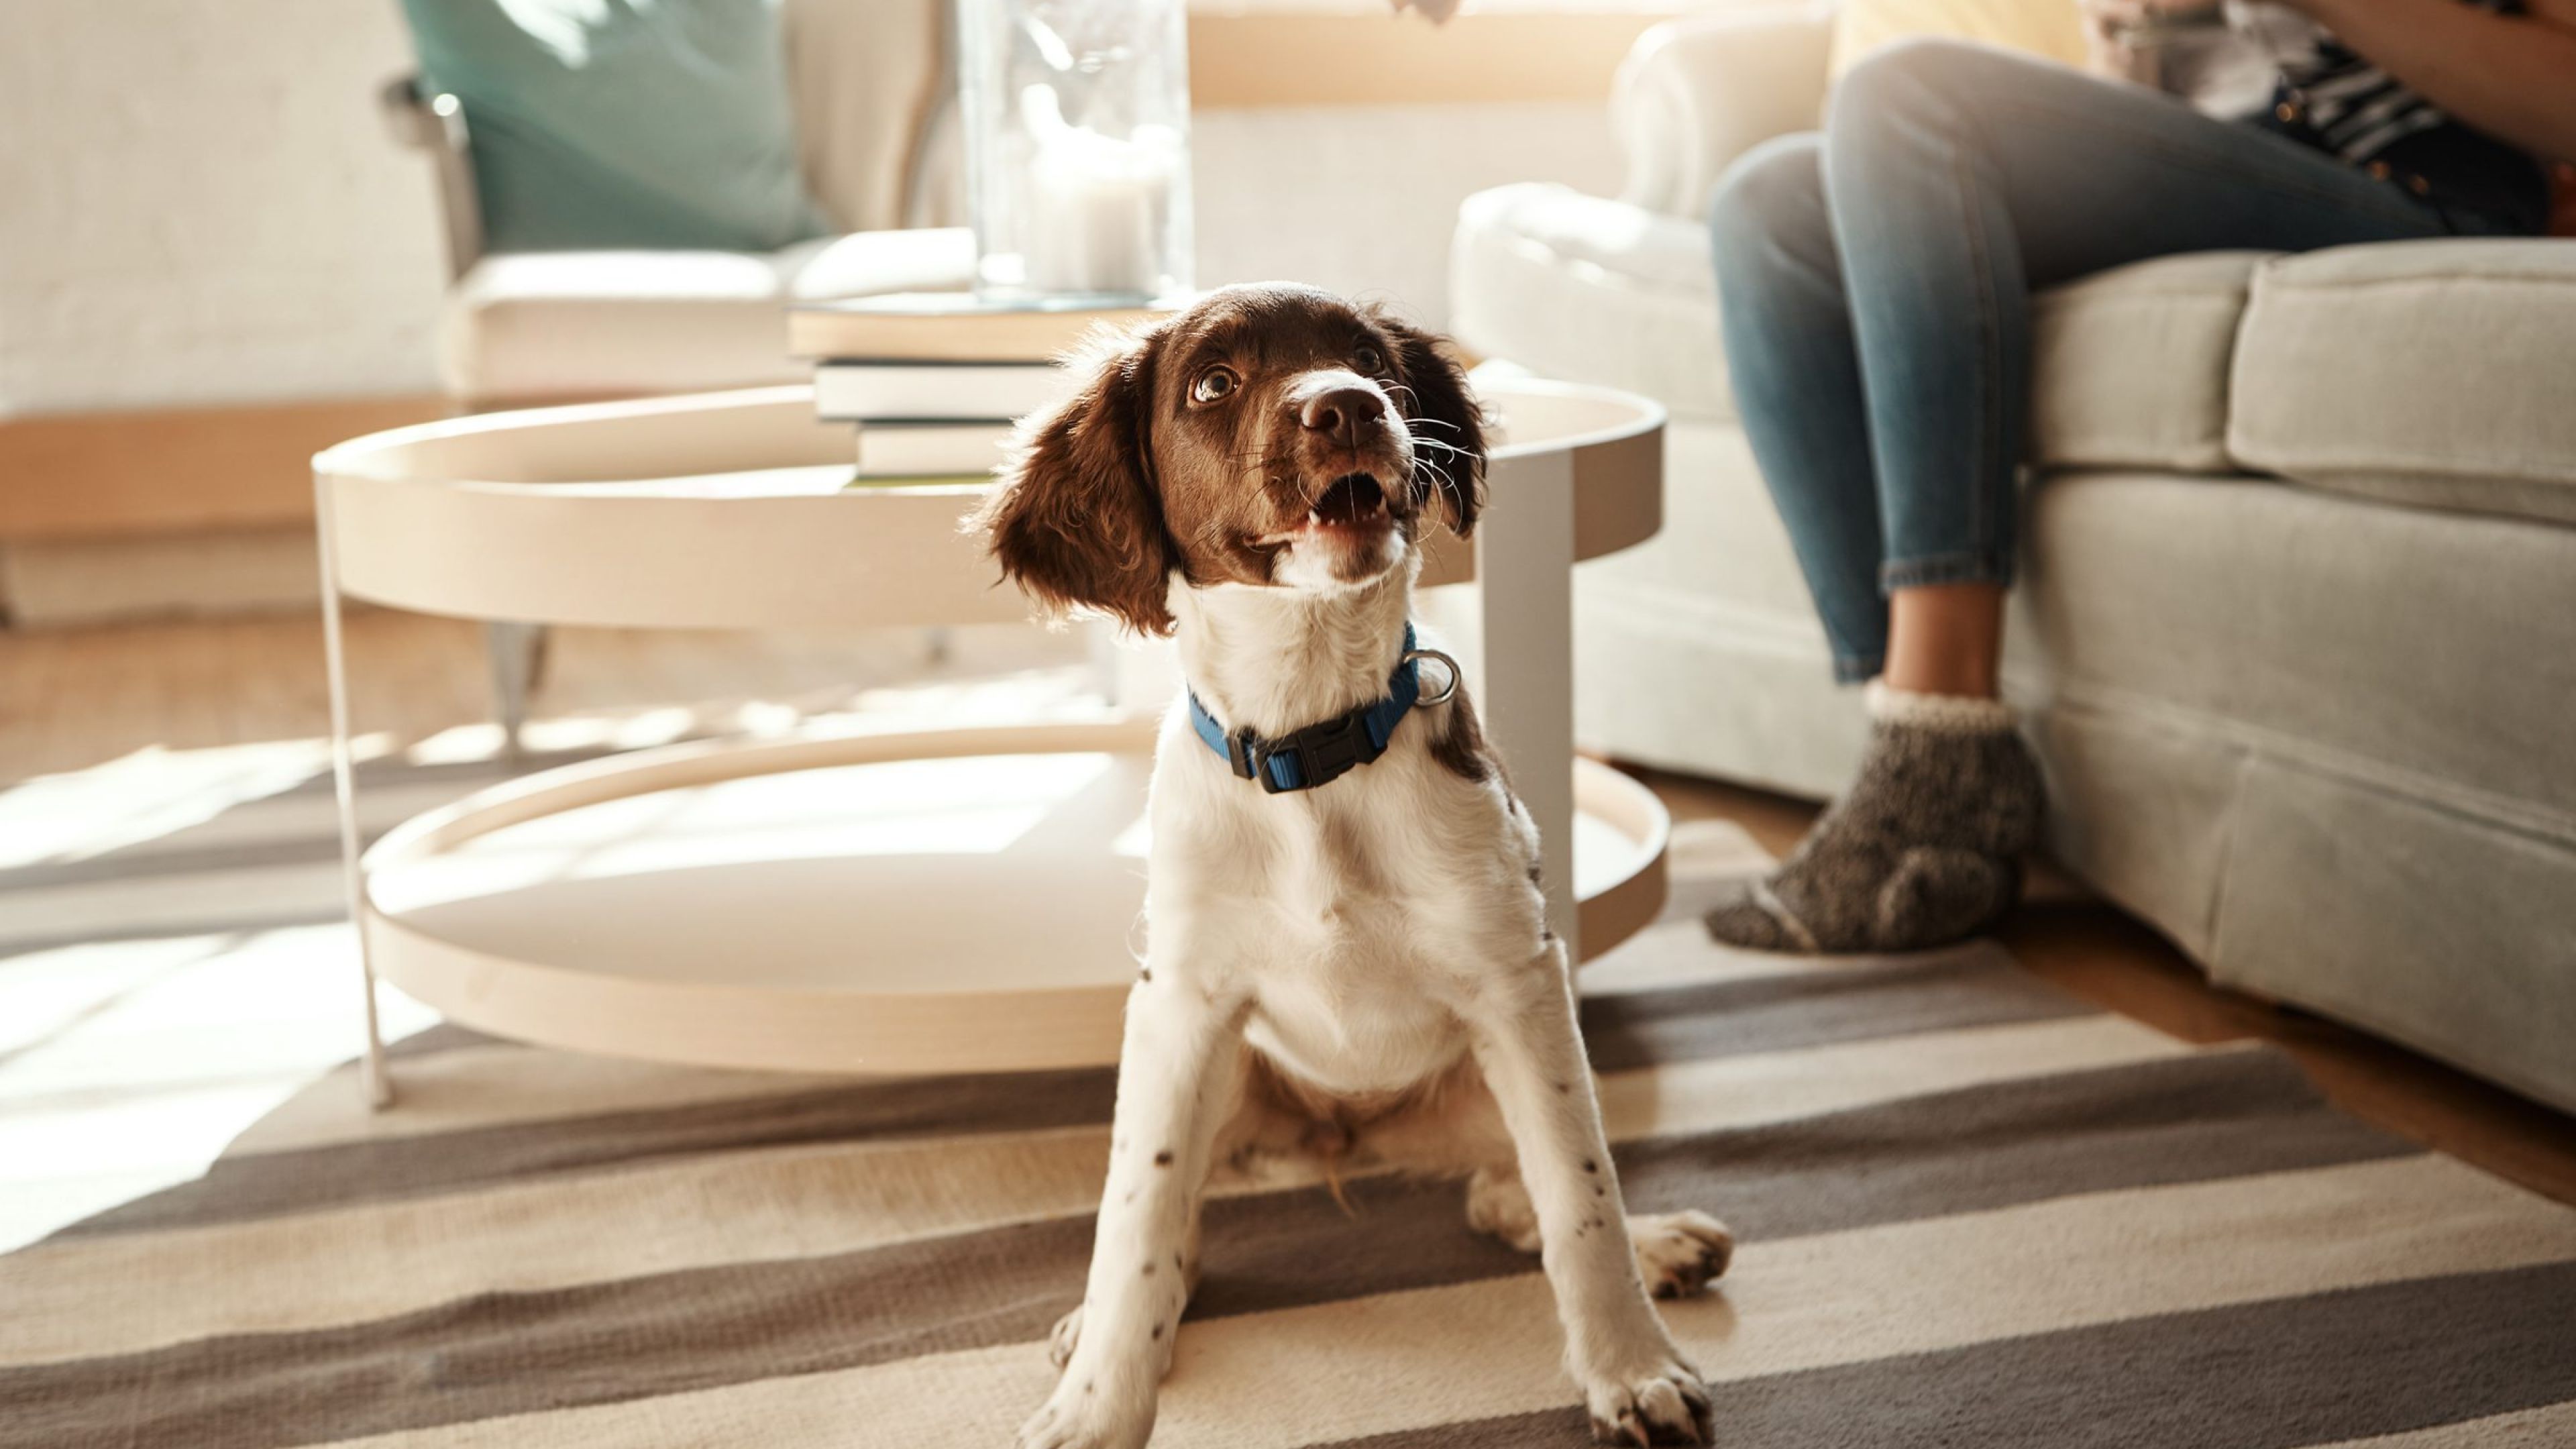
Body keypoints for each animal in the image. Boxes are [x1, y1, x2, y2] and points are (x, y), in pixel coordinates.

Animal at [973, 284, 1741, 1444]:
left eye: (1370, 359)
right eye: (1213, 384)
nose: (1347, 406)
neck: (1309, 749)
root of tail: (1350, 1136)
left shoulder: (1520, 980)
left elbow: (1581, 1193)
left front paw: (1632, 1366)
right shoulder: (1180, 1004)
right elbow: (1138, 1213)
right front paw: (1100, 1405)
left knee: (1508, 1185)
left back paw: (1660, 1247)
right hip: (1221, 1068)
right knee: (1180, 1212)